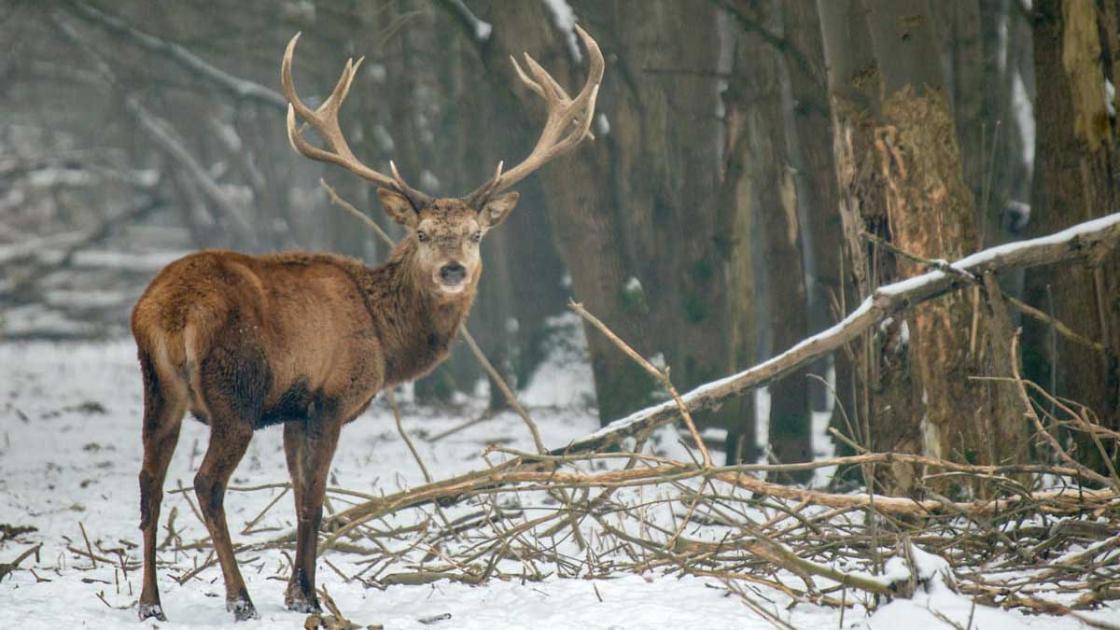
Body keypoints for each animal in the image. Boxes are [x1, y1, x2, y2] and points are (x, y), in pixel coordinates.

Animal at [131, 27, 603, 622]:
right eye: (422, 234)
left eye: (475, 234)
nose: (453, 269)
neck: (386, 337)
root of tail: (169, 313)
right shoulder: (331, 396)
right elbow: (314, 498)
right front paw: (307, 596)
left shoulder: (293, 410)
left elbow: (298, 493)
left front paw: (295, 591)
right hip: (234, 393)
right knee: (205, 483)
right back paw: (239, 599)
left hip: (159, 389)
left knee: (149, 483)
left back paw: (150, 604)